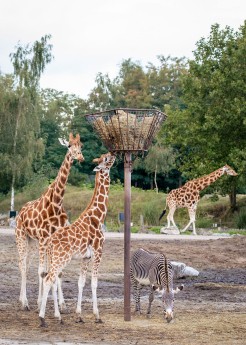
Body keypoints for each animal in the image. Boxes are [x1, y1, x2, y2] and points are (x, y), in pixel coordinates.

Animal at [15, 132, 84, 310]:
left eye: (80, 146)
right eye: (69, 145)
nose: (80, 157)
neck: (56, 202)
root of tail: (19, 213)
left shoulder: (52, 239)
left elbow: (56, 271)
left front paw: (61, 304)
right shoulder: (44, 238)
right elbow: (42, 271)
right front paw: (42, 303)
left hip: (33, 241)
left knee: (28, 265)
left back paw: (25, 300)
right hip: (21, 237)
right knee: (22, 265)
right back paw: (24, 302)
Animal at [38, 151, 116, 326]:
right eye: (106, 159)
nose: (114, 154)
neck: (98, 217)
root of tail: (50, 243)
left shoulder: (85, 257)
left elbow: (81, 283)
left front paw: (79, 315)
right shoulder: (98, 252)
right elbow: (94, 283)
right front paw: (97, 315)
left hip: (54, 259)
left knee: (51, 279)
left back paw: (56, 316)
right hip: (61, 259)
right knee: (48, 280)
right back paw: (43, 318)